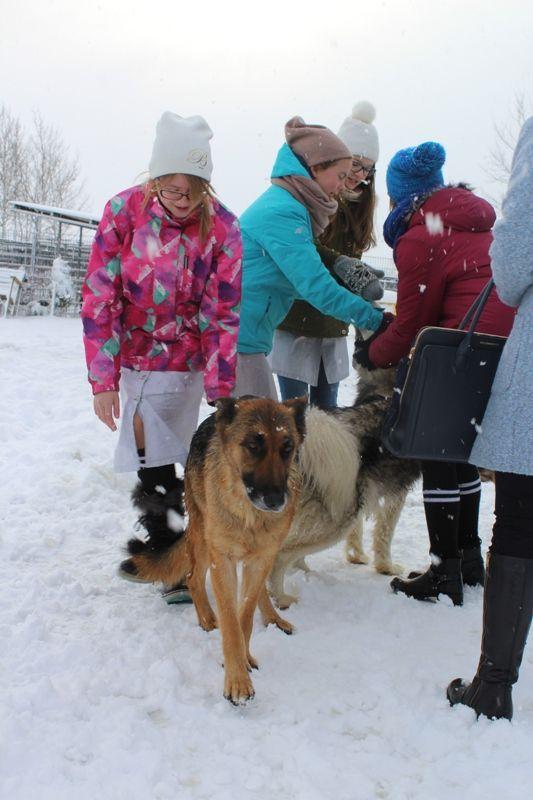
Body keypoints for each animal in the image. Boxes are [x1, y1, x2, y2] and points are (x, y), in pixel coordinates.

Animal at [124, 396, 306, 704]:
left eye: (287, 447)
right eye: (253, 445)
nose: (275, 501)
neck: (249, 515)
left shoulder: (261, 558)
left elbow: (245, 616)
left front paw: (244, 658)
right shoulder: (224, 561)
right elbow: (231, 622)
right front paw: (237, 681)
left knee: (256, 592)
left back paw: (272, 617)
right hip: (203, 540)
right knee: (193, 577)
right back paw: (208, 618)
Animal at [266, 362, 420, 608]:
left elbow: (360, 534)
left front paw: (357, 557)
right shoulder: (396, 494)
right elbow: (384, 534)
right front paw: (386, 567)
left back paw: (306, 576)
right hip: (335, 522)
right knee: (281, 554)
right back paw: (281, 597)